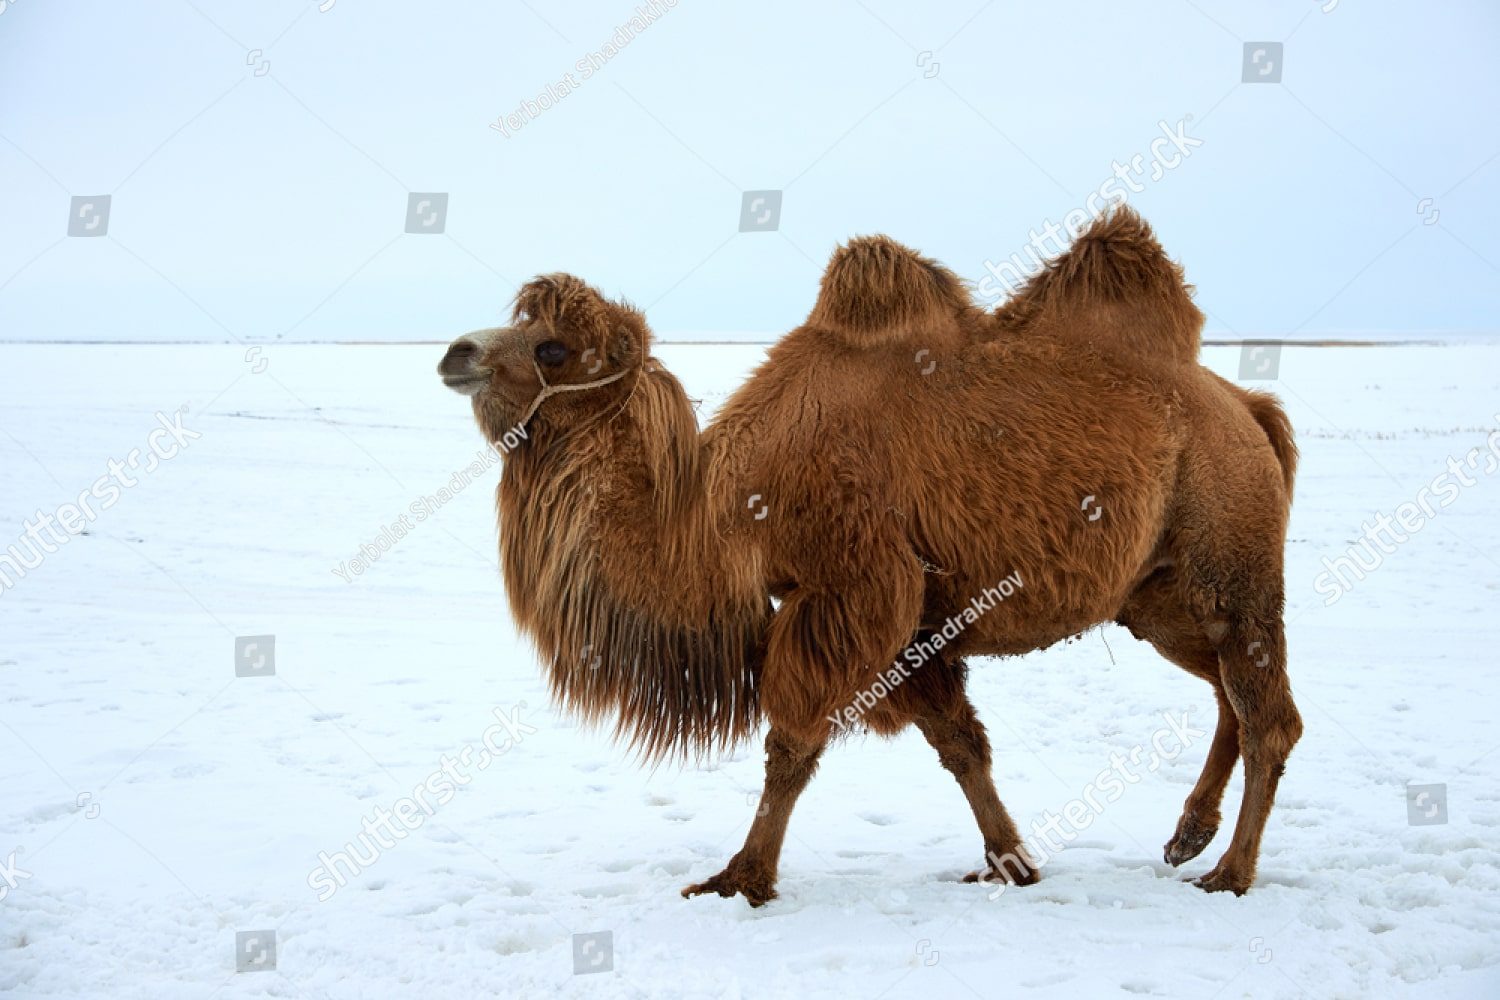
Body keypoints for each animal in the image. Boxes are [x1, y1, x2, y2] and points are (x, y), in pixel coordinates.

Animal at [437, 207, 1302, 905]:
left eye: (552, 348)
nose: (455, 351)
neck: (722, 510)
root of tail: (1249, 407)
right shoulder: (914, 621)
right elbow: (961, 745)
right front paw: (1011, 862)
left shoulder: (853, 588)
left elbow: (792, 743)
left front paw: (740, 878)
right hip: (1157, 595)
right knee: (1227, 689)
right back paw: (1188, 835)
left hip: (1231, 555)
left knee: (1269, 714)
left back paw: (1230, 872)